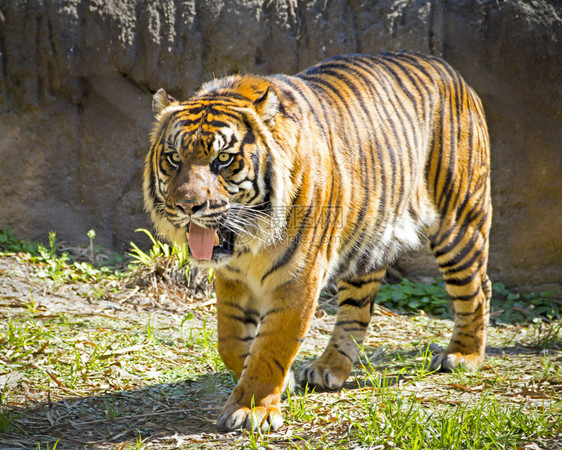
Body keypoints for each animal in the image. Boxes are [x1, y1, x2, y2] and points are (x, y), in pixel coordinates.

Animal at [143, 51, 490, 432]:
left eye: (223, 159)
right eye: (174, 158)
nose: (188, 206)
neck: (250, 242)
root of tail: (448, 68)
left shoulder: (298, 277)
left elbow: (272, 346)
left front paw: (253, 408)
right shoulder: (233, 277)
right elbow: (230, 340)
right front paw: (282, 383)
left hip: (459, 221)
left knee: (477, 288)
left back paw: (464, 355)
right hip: (367, 244)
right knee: (357, 311)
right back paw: (329, 369)